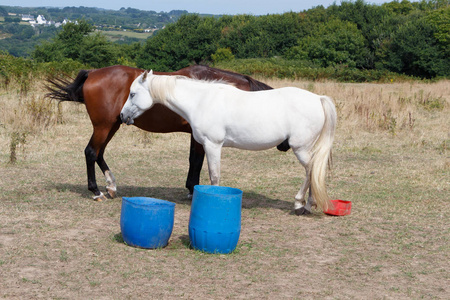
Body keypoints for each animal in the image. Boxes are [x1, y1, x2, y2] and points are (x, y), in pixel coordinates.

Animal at [47, 66, 290, 202]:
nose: (285, 145)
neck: (207, 91)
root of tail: (92, 73)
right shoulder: (199, 138)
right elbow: (196, 161)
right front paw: (192, 190)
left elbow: (194, 161)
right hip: (103, 126)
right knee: (91, 152)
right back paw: (96, 191)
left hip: (113, 125)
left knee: (98, 154)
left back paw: (111, 185)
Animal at [121, 71, 336, 214]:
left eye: (132, 94)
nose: (122, 116)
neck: (201, 101)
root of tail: (318, 98)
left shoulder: (212, 145)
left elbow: (214, 176)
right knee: (313, 171)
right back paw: (309, 204)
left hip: (301, 149)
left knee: (311, 170)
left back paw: (300, 204)